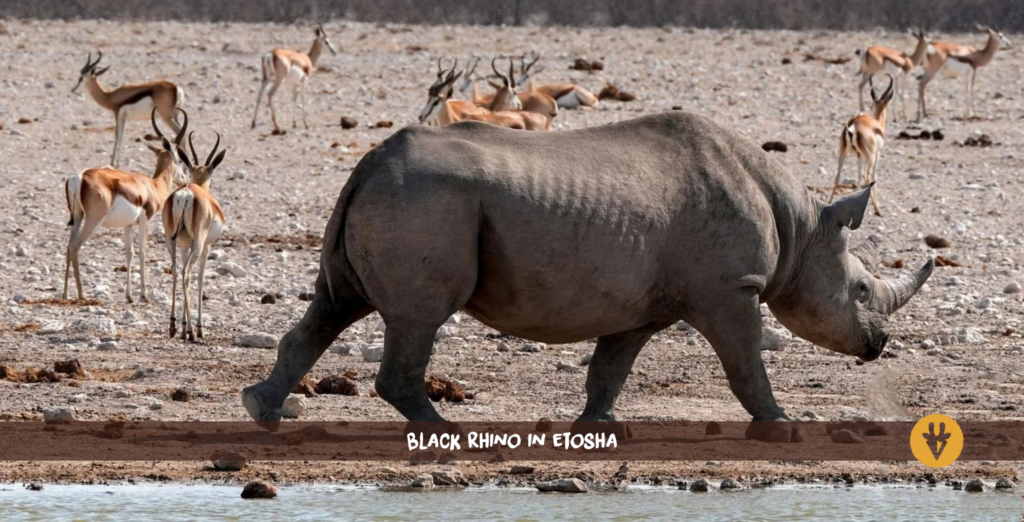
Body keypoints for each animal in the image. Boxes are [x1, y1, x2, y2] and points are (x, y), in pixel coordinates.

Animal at [242, 112, 933, 441]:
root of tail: (367, 163)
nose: (880, 345)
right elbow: (745, 365)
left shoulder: (644, 304)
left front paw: (598, 429)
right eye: (862, 290)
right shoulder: (730, 287)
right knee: (417, 317)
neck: (802, 227)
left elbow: (611, 366)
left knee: (335, 304)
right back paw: (452, 435)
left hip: (397, 199)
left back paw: (261, 410)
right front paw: (782, 425)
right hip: (426, 204)